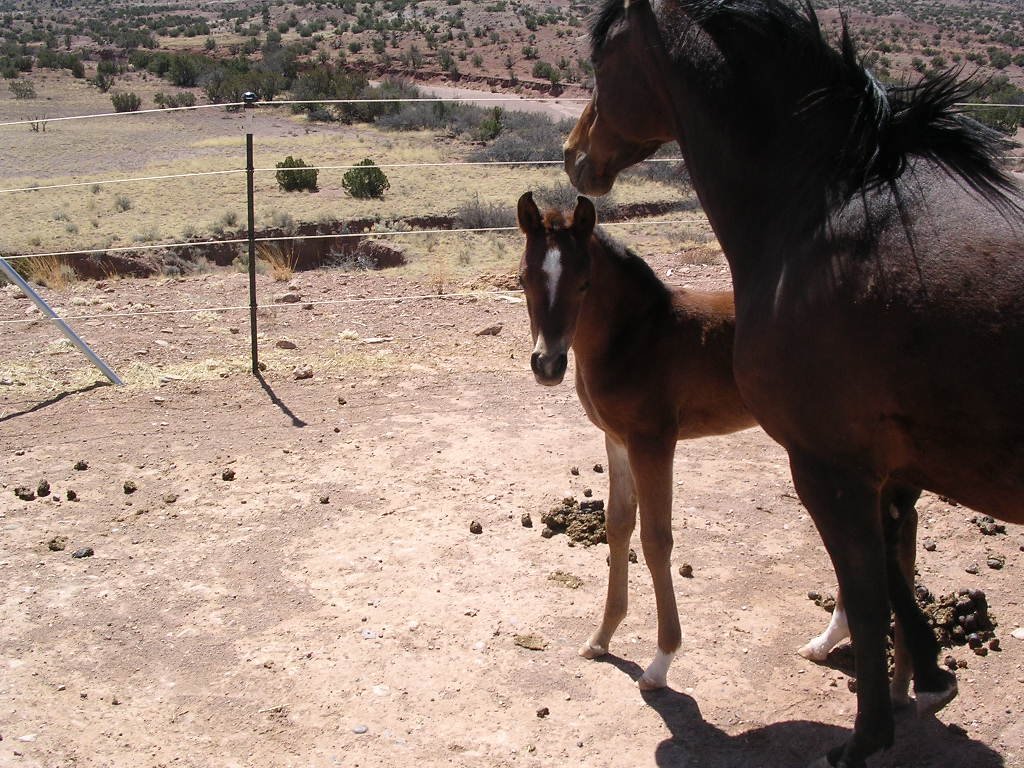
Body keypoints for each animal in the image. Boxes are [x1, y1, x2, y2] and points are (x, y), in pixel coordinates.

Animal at [517, 191, 923, 699]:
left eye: (585, 283)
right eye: (523, 278)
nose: (547, 365)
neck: (637, 335)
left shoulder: (654, 442)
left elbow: (656, 540)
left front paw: (661, 662)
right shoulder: (616, 440)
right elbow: (618, 526)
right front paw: (601, 637)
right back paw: (830, 644)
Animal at [562, 2, 1024, 767]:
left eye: (602, 60)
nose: (575, 154)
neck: (827, 208)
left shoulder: (827, 461)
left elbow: (869, 588)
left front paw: (866, 737)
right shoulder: (885, 465)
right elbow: (888, 566)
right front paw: (927, 674)